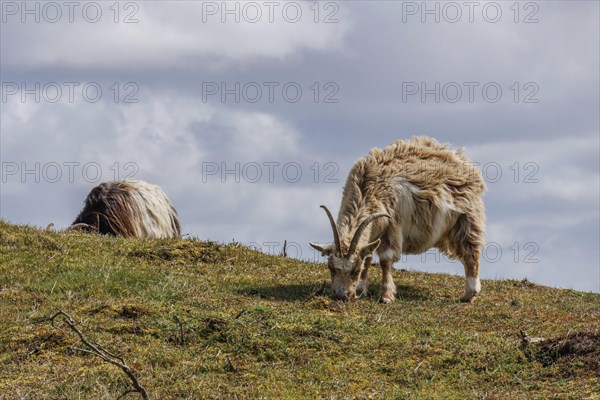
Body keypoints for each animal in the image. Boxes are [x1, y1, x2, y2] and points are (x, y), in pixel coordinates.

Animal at [312, 138, 486, 304]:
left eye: (355, 270)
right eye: (331, 268)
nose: (341, 297)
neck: (369, 189)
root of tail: (460, 159)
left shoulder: (392, 225)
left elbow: (385, 260)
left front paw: (386, 296)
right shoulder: (374, 232)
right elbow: (368, 256)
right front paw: (362, 290)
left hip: (466, 218)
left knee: (471, 254)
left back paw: (468, 295)